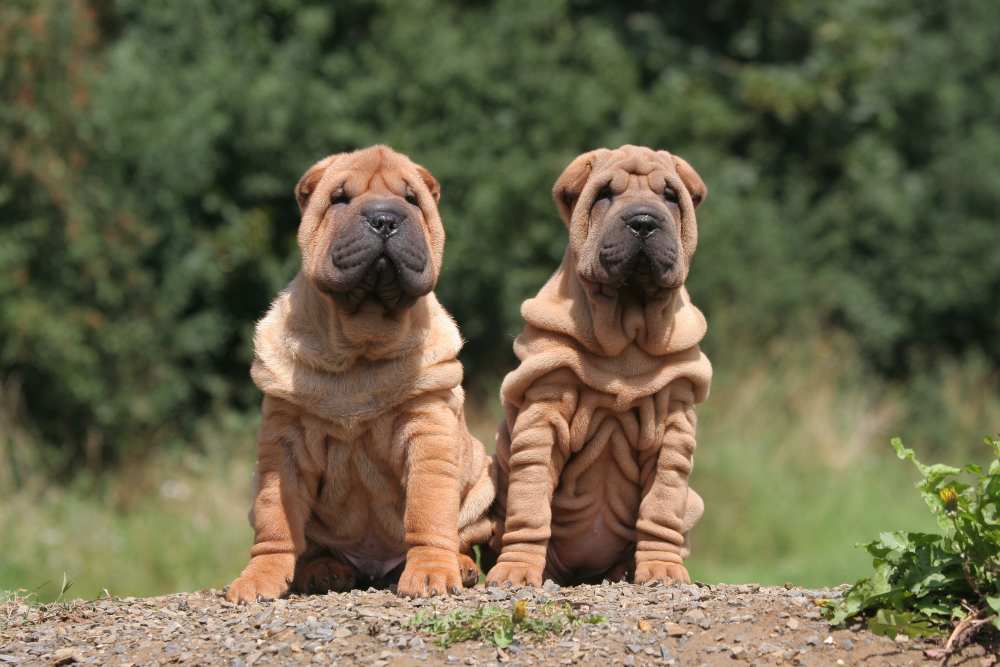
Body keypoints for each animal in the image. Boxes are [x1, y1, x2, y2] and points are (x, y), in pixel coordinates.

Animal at [226, 144, 492, 604]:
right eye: (340, 199)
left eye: (411, 199)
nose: (384, 218)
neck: (360, 344)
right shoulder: (284, 443)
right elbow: (276, 519)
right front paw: (258, 579)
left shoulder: (429, 430)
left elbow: (428, 507)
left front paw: (431, 573)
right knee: (310, 546)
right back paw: (323, 572)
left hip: (480, 484)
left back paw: (459, 565)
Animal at [486, 145, 712, 584]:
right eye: (605, 194)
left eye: (670, 196)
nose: (644, 222)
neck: (627, 326)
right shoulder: (543, 412)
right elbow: (531, 501)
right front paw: (516, 570)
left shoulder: (675, 423)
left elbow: (662, 503)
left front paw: (662, 567)